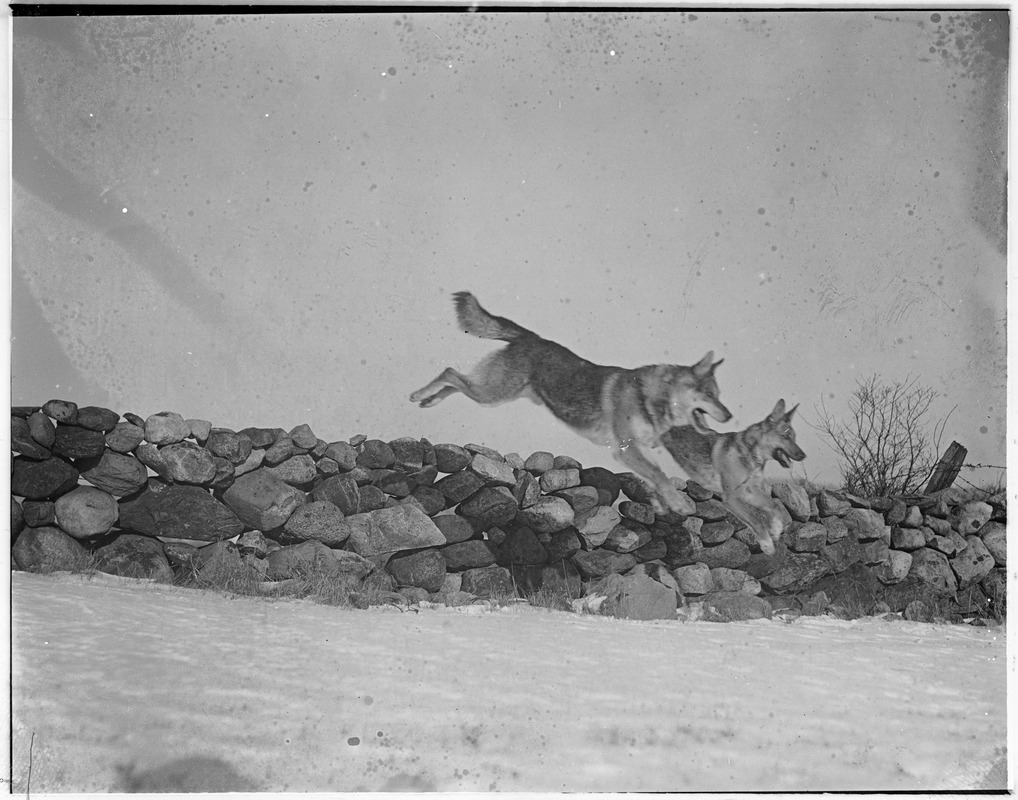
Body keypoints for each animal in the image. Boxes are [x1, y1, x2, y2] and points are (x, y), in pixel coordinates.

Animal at [407, 289, 732, 515]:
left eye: (719, 393)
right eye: (710, 394)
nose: (729, 415)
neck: (651, 398)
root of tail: (531, 337)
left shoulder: (634, 452)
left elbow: (654, 479)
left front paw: (666, 505)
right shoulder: (626, 450)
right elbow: (659, 474)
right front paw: (679, 504)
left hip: (493, 394)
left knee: (454, 381)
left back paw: (428, 402)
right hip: (492, 393)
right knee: (450, 372)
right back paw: (419, 395)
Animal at [659, 394, 802, 553]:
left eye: (794, 437)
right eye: (785, 436)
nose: (803, 456)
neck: (751, 454)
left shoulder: (749, 492)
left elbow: (775, 507)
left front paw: (776, 529)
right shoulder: (731, 498)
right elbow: (757, 521)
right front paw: (767, 544)